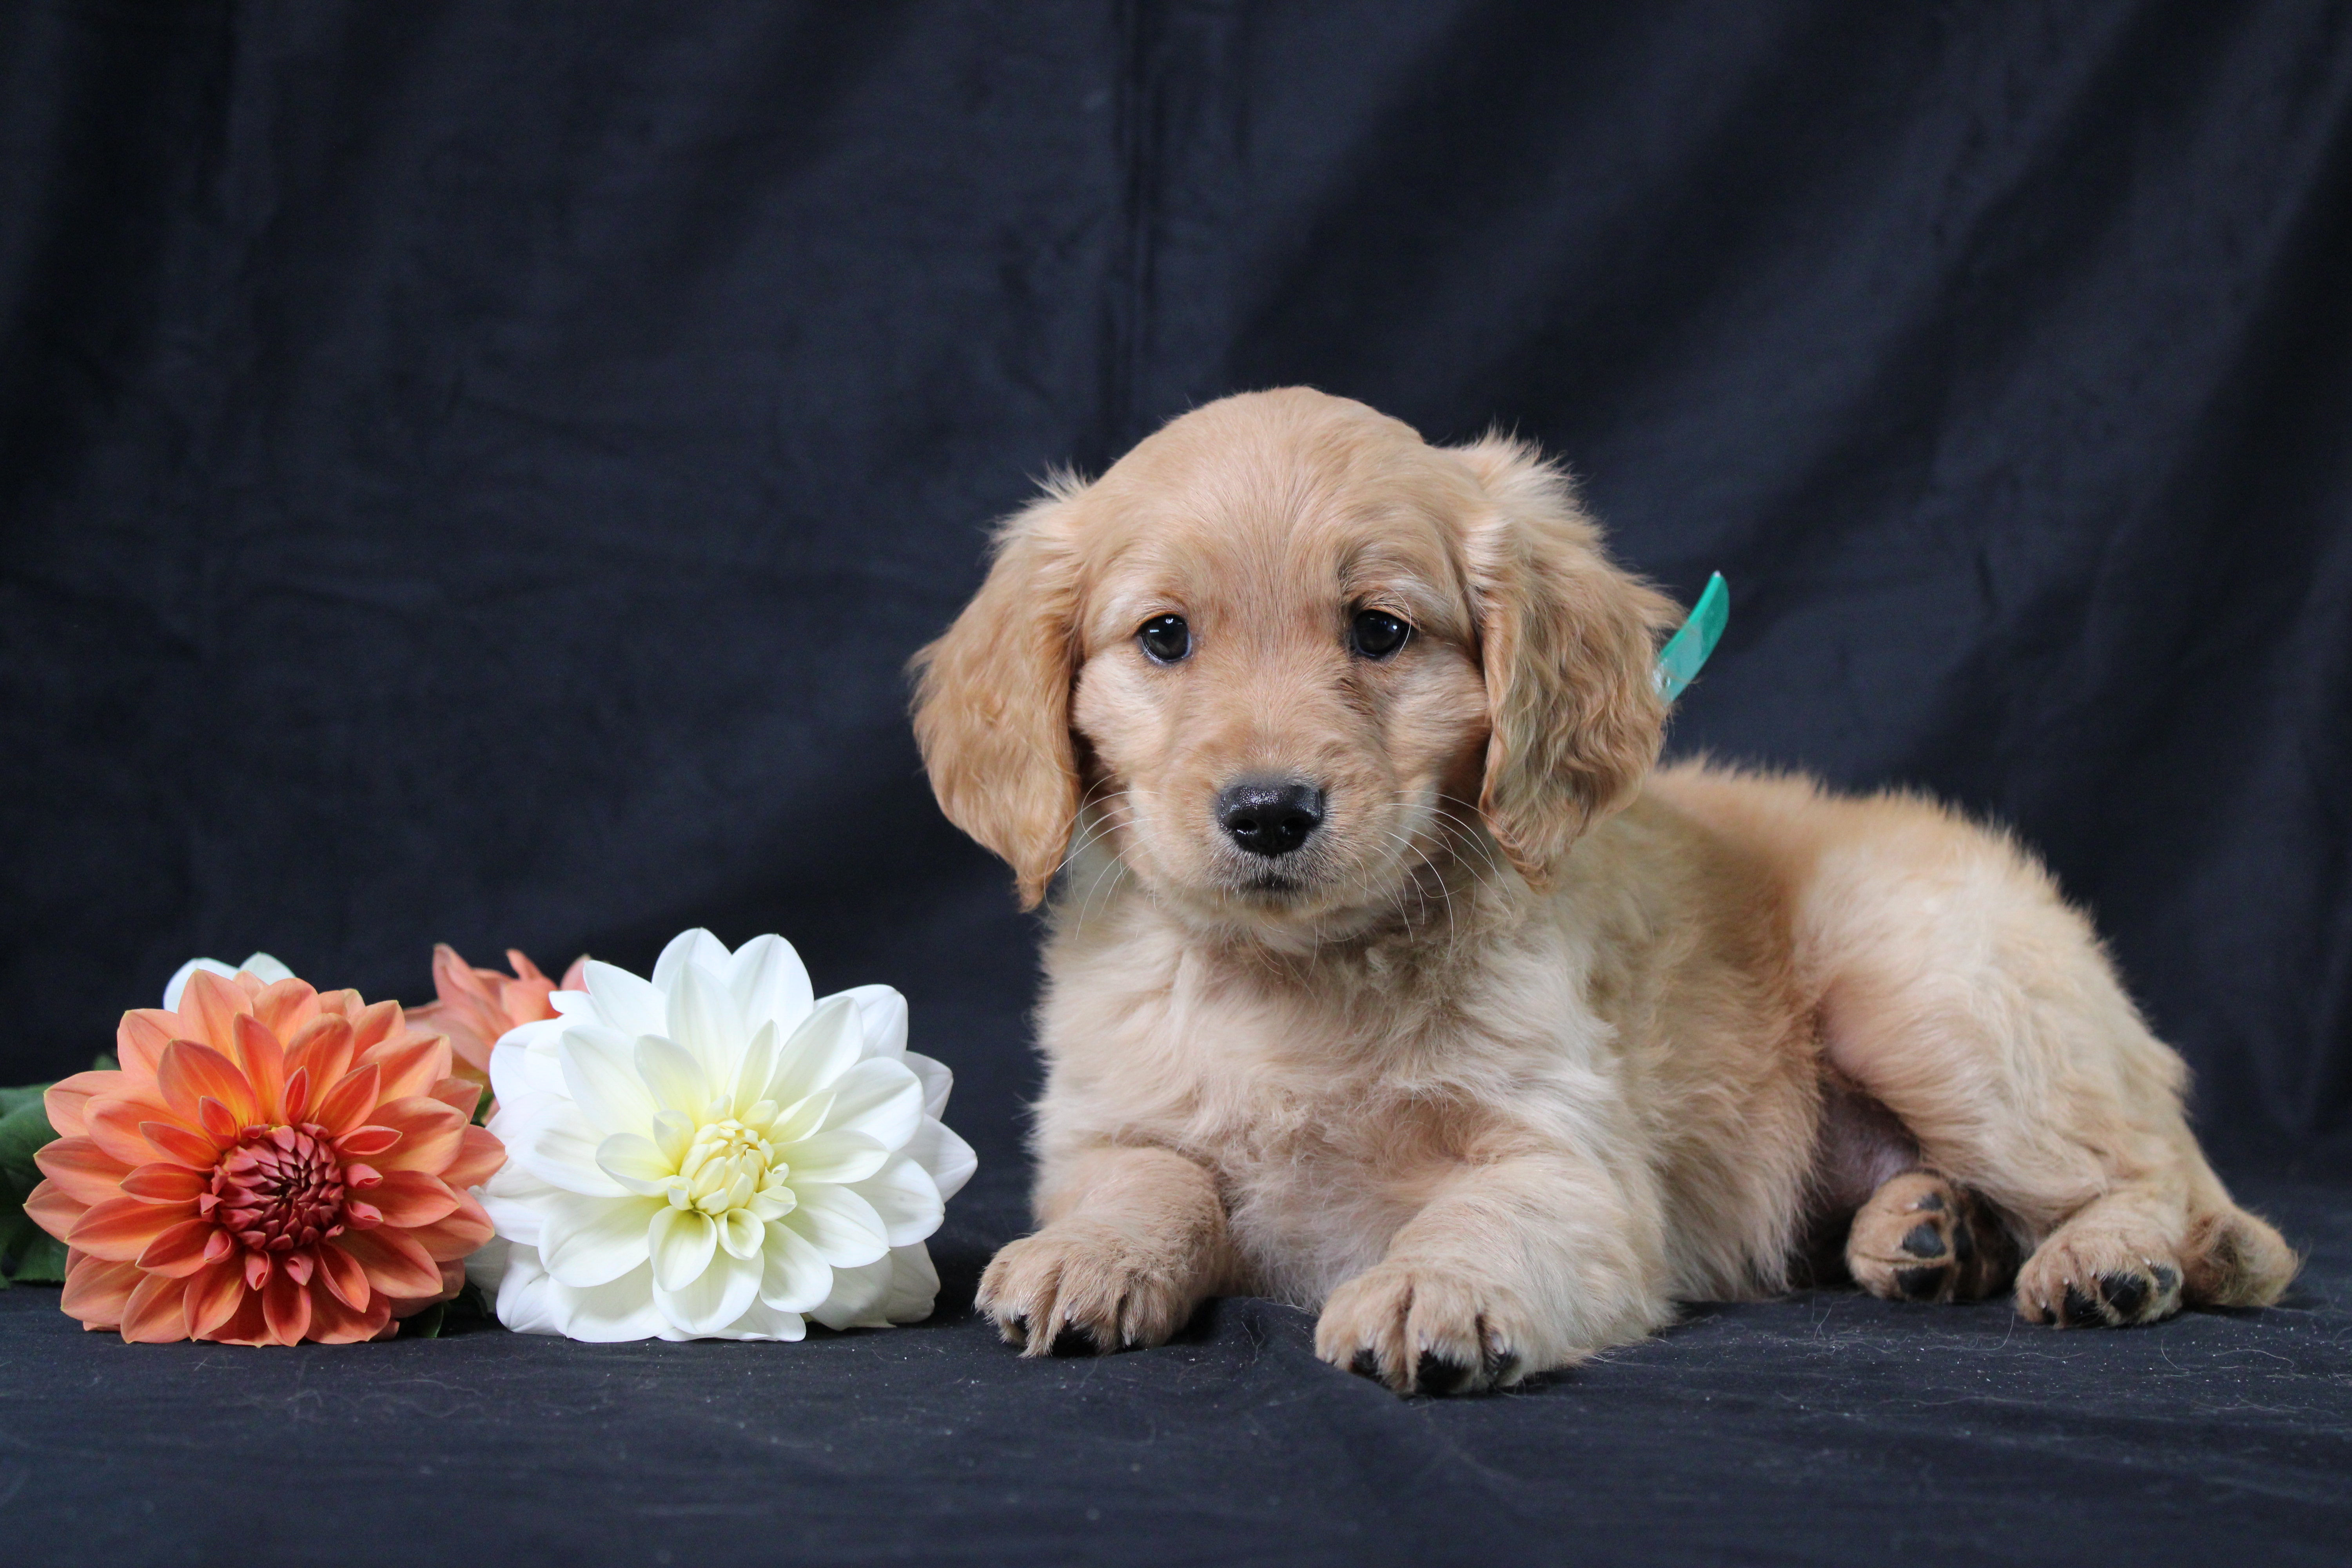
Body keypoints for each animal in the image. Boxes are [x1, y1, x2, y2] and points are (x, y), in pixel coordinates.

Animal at [913, 390, 2296, 1401]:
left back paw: (2107, 1260)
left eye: (1378, 630)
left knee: (2159, 1179)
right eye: (1162, 638)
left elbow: (1481, 1210)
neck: (1301, 974)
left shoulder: (1572, 1161)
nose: (1268, 813)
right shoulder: (1106, 1125)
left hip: (1927, 994)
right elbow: (1151, 1182)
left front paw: (1431, 1291)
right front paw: (1089, 1259)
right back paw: (1924, 1232)